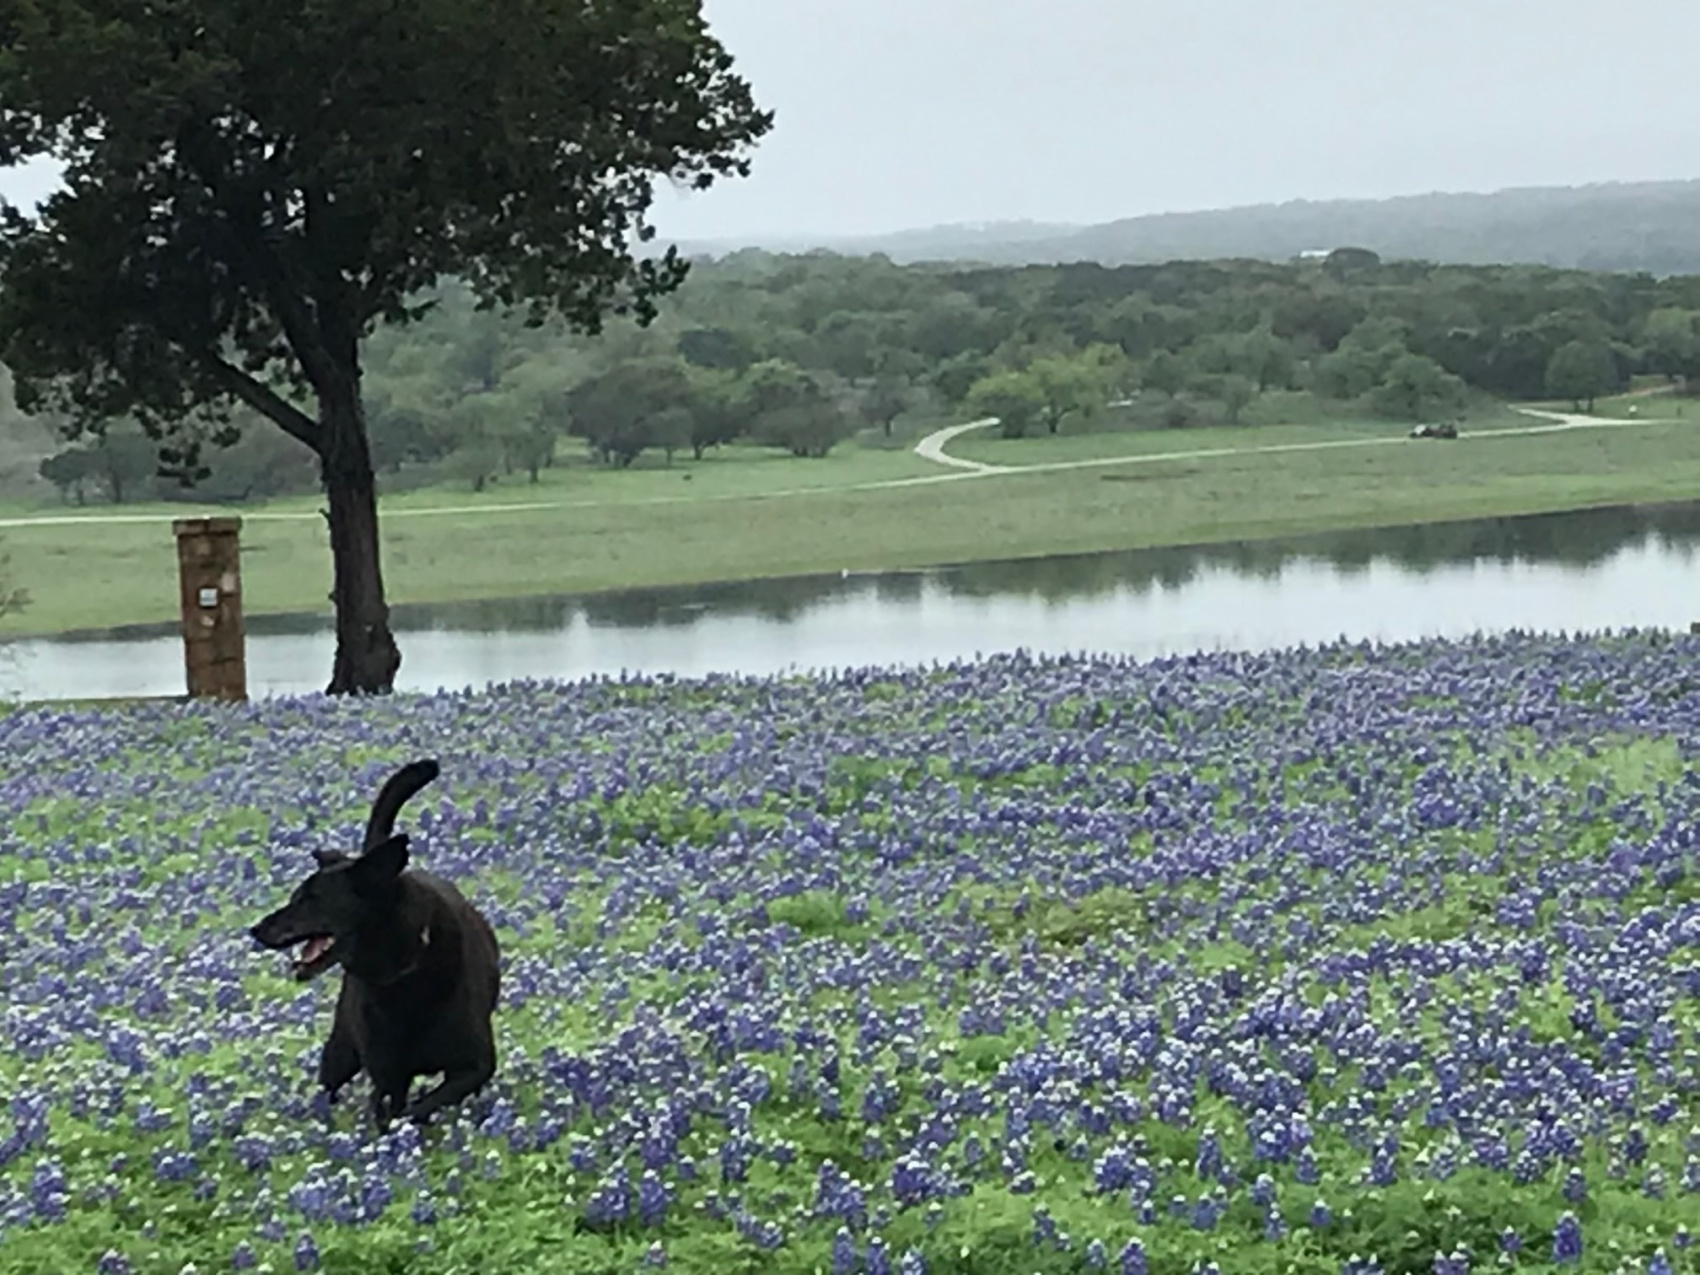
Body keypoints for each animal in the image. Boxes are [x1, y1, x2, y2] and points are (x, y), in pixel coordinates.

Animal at [249, 759, 500, 1132]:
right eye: (296, 896)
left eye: (311, 899)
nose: (255, 929)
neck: (402, 975)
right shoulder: (387, 1075)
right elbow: (395, 1112)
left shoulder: (474, 1065)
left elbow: (423, 1107)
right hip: (341, 1048)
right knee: (328, 1087)